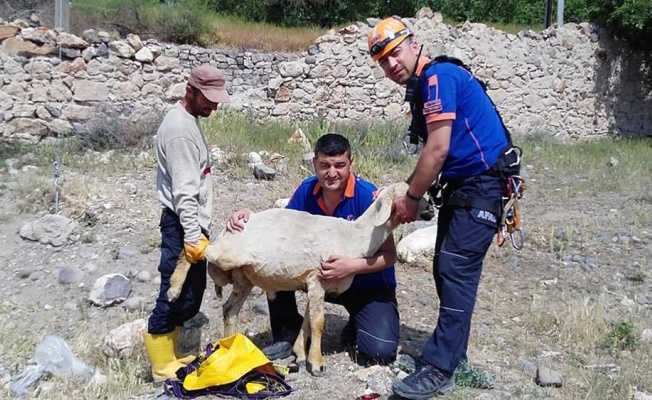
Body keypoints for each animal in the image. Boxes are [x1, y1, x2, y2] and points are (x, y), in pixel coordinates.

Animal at [168, 181, 432, 376]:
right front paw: (317, 364)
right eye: (411, 195)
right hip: (227, 254)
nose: (431, 210)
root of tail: (225, 231)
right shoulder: (317, 279)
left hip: (244, 276)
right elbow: (318, 323)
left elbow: (307, 321)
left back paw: (229, 345)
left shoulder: (314, 283)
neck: (355, 236)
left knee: (229, 308)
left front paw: (301, 354)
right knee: (199, 250)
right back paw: (174, 288)